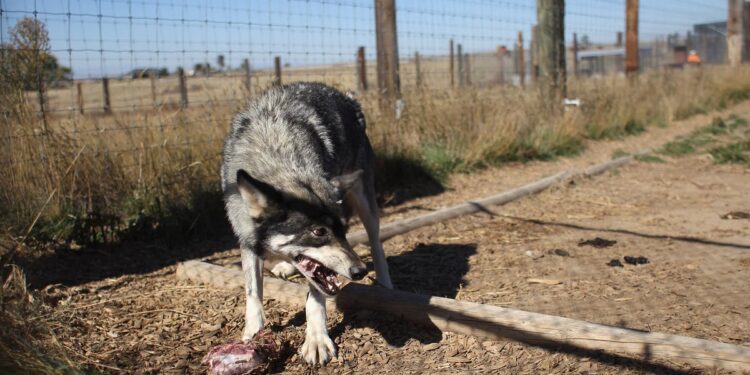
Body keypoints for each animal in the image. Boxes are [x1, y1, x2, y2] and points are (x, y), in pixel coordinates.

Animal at [220, 81, 394, 364]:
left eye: (342, 230)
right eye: (319, 231)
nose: (359, 271)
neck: (274, 154)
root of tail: (346, 97)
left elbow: (315, 297)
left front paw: (316, 340)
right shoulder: (247, 240)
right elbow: (253, 293)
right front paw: (252, 334)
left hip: (366, 203)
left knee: (376, 243)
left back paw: (385, 284)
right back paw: (284, 267)